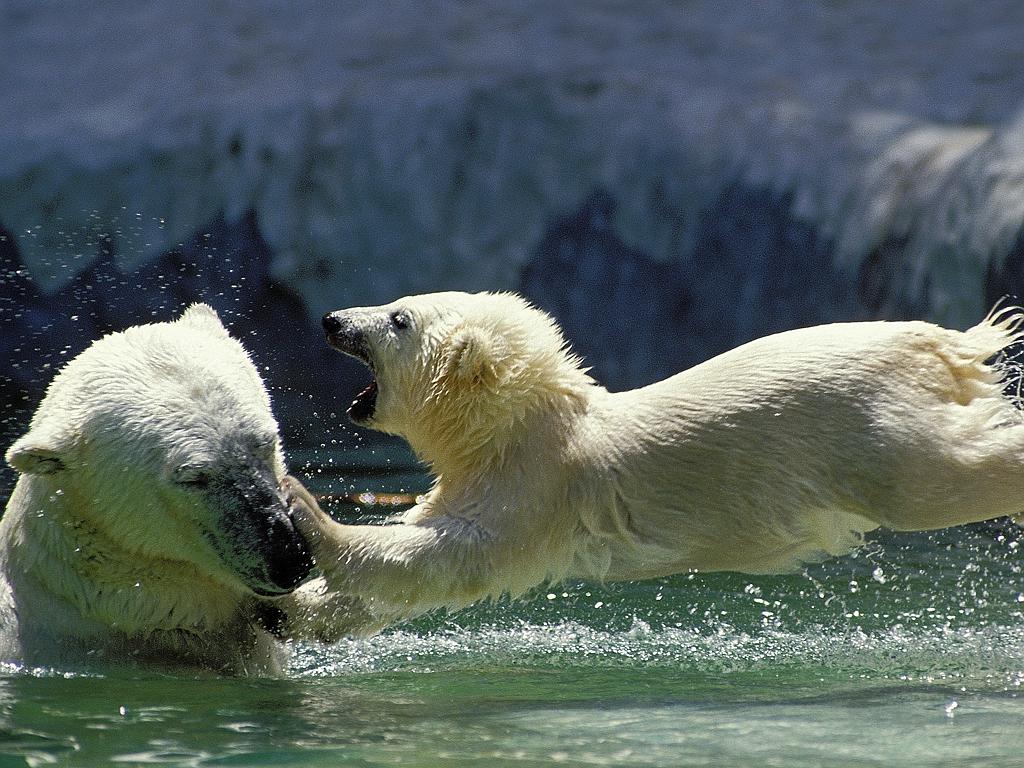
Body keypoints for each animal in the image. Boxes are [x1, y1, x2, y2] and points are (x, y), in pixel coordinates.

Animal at [284, 288, 1024, 630]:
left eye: (398, 318)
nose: (331, 319)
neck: (525, 424)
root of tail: (939, 343)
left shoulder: (534, 487)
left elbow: (445, 555)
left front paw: (304, 505)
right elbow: (408, 576)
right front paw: (291, 613)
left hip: (871, 433)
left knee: (940, 475)